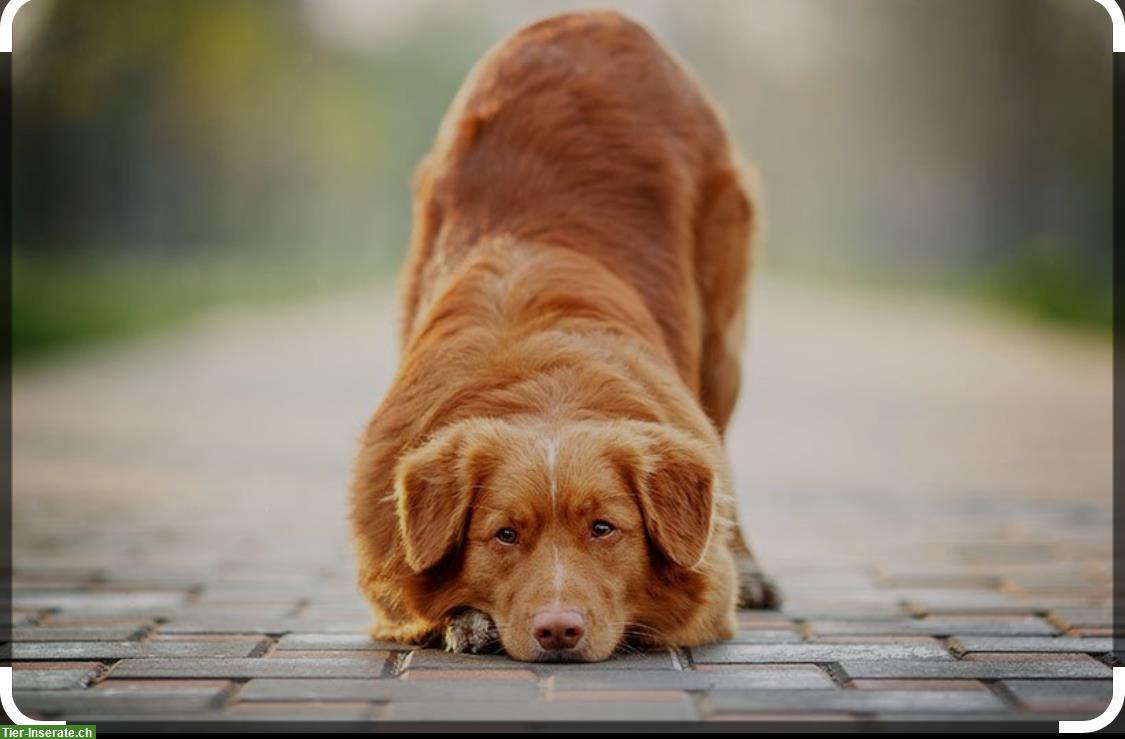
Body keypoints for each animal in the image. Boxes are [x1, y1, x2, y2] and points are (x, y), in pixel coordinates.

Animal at [346, 8, 778, 661]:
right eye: (504, 534)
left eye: (603, 529)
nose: (558, 630)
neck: (545, 383)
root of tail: (593, 17)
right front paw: (467, 618)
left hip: (721, 346)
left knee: (725, 449)